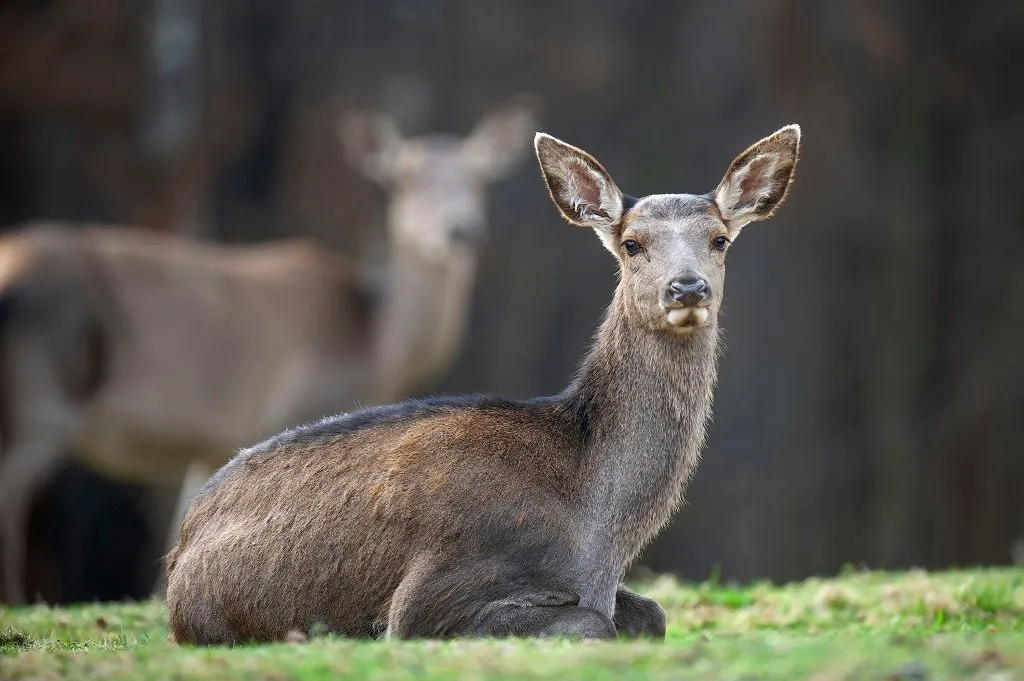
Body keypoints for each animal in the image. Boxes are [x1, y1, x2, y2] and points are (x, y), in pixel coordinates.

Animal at [0, 98, 540, 602]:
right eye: (401, 177)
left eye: (480, 174)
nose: (461, 229)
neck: (374, 346)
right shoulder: (294, 406)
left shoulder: (215, 439)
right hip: (41, 398)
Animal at [163, 123, 802, 643]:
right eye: (632, 243)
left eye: (720, 238)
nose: (687, 287)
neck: (597, 534)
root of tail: (181, 545)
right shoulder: (428, 594)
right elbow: (591, 624)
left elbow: (654, 613)